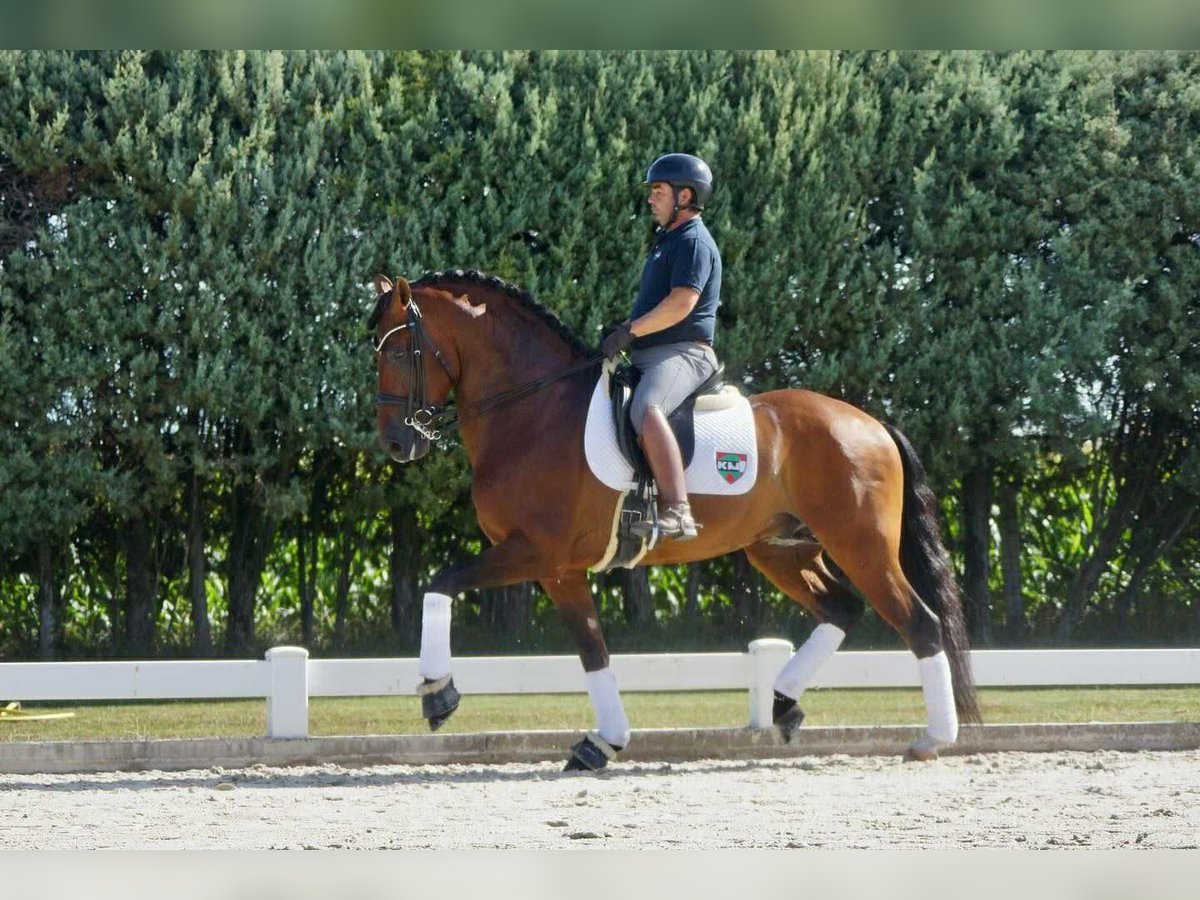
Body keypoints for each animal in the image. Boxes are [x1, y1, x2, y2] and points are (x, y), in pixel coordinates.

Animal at [369, 269, 980, 770]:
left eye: (397, 354)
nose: (397, 445)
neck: (534, 411)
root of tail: (871, 423)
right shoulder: (560, 569)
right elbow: (593, 650)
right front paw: (604, 743)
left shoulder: (537, 551)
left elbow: (441, 583)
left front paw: (438, 693)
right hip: (781, 549)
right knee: (842, 608)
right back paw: (783, 704)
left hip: (862, 545)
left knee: (919, 623)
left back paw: (933, 738)